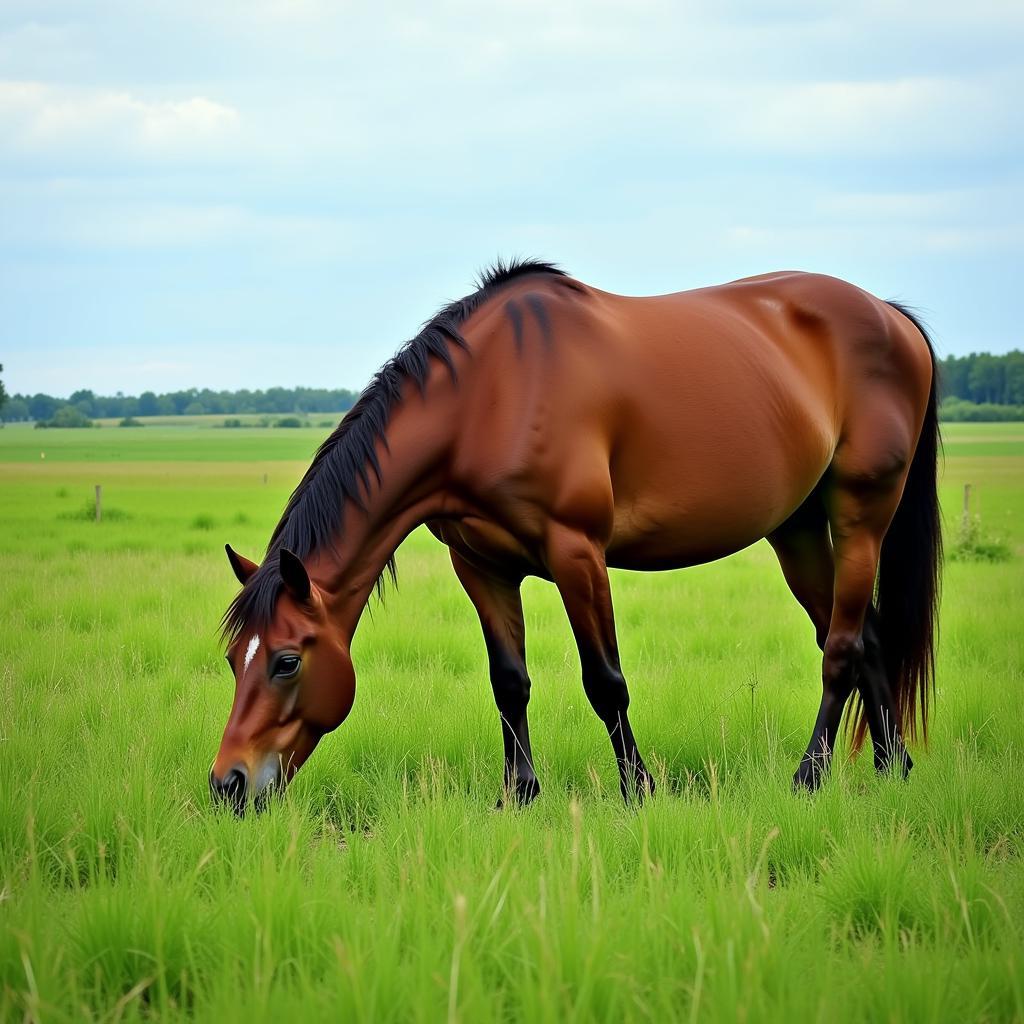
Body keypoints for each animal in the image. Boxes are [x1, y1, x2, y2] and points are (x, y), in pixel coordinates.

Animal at [211, 260, 937, 811]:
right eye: (234, 659)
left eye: (286, 660)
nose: (229, 784)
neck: (490, 395)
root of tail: (891, 316)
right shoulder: (479, 564)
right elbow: (509, 681)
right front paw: (518, 794)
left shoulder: (577, 552)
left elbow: (605, 681)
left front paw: (639, 790)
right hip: (797, 528)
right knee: (866, 637)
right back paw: (892, 768)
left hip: (861, 514)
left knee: (842, 647)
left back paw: (810, 776)